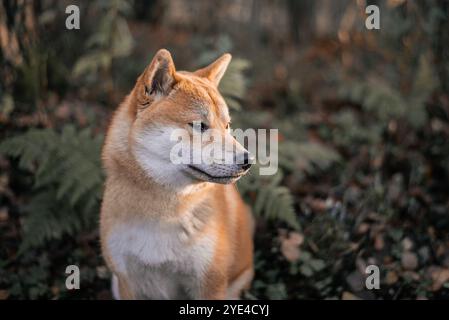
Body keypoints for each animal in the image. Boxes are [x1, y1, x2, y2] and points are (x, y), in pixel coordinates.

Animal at [101, 48, 254, 298]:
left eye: (227, 126)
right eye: (200, 126)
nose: (248, 161)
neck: (162, 215)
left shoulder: (209, 284)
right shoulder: (126, 281)